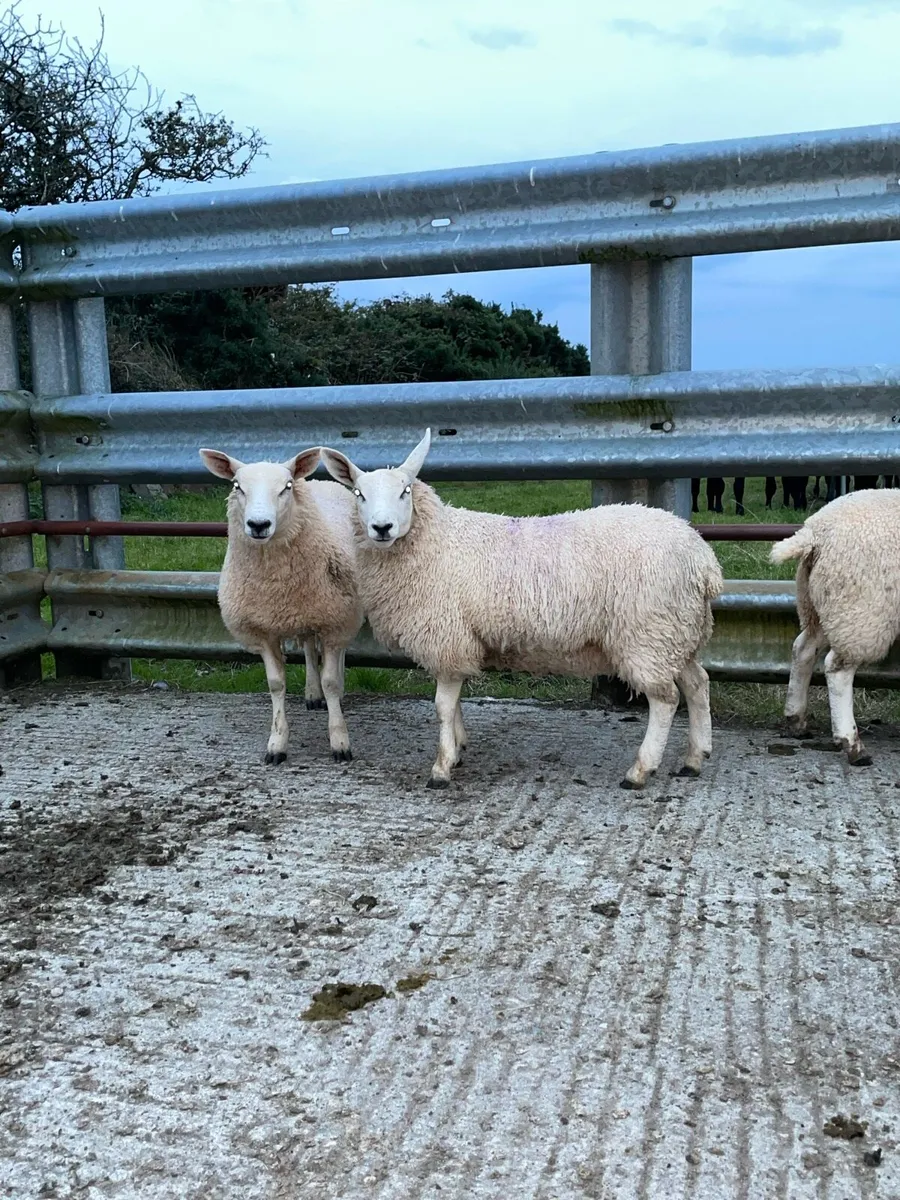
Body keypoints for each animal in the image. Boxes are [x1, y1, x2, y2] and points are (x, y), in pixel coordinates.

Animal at [200, 446, 363, 765]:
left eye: (286, 487)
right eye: (237, 486)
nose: (258, 525)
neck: (277, 587)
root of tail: (318, 481)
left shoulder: (335, 620)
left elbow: (331, 682)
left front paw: (340, 741)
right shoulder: (263, 630)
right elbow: (276, 684)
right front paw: (276, 744)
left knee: (335, 654)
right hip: (307, 615)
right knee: (310, 649)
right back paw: (312, 694)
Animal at [320, 429, 724, 790]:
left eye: (405, 491)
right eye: (359, 494)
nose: (382, 527)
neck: (435, 541)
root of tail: (703, 557)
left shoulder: (446, 637)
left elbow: (442, 706)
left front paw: (441, 767)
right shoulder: (459, 642)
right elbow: (455, 702)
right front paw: (459, 748)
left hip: (649, 633)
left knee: (666, 699)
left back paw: (640, 770)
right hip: (677, 632)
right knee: (697, 684)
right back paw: (694, 759)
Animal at [770, 487, 900, 766]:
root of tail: (815, 531)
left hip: (822, 606)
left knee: (803, 649)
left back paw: (796, 720)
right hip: (861, 612)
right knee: (838, 668)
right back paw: (852, 744)